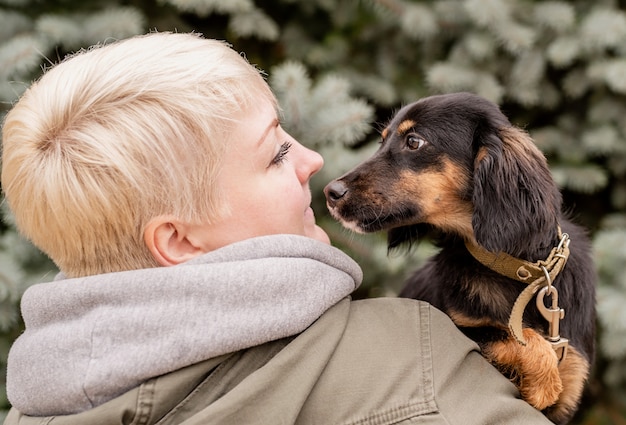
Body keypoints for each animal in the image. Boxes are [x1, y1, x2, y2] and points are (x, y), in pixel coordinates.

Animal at [324, 91, 592, 422]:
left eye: (414, 141)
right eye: (382, 140)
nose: (330, 192)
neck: (517, 271)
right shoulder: (455, 327)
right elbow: (515, 336)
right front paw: (543, 382)